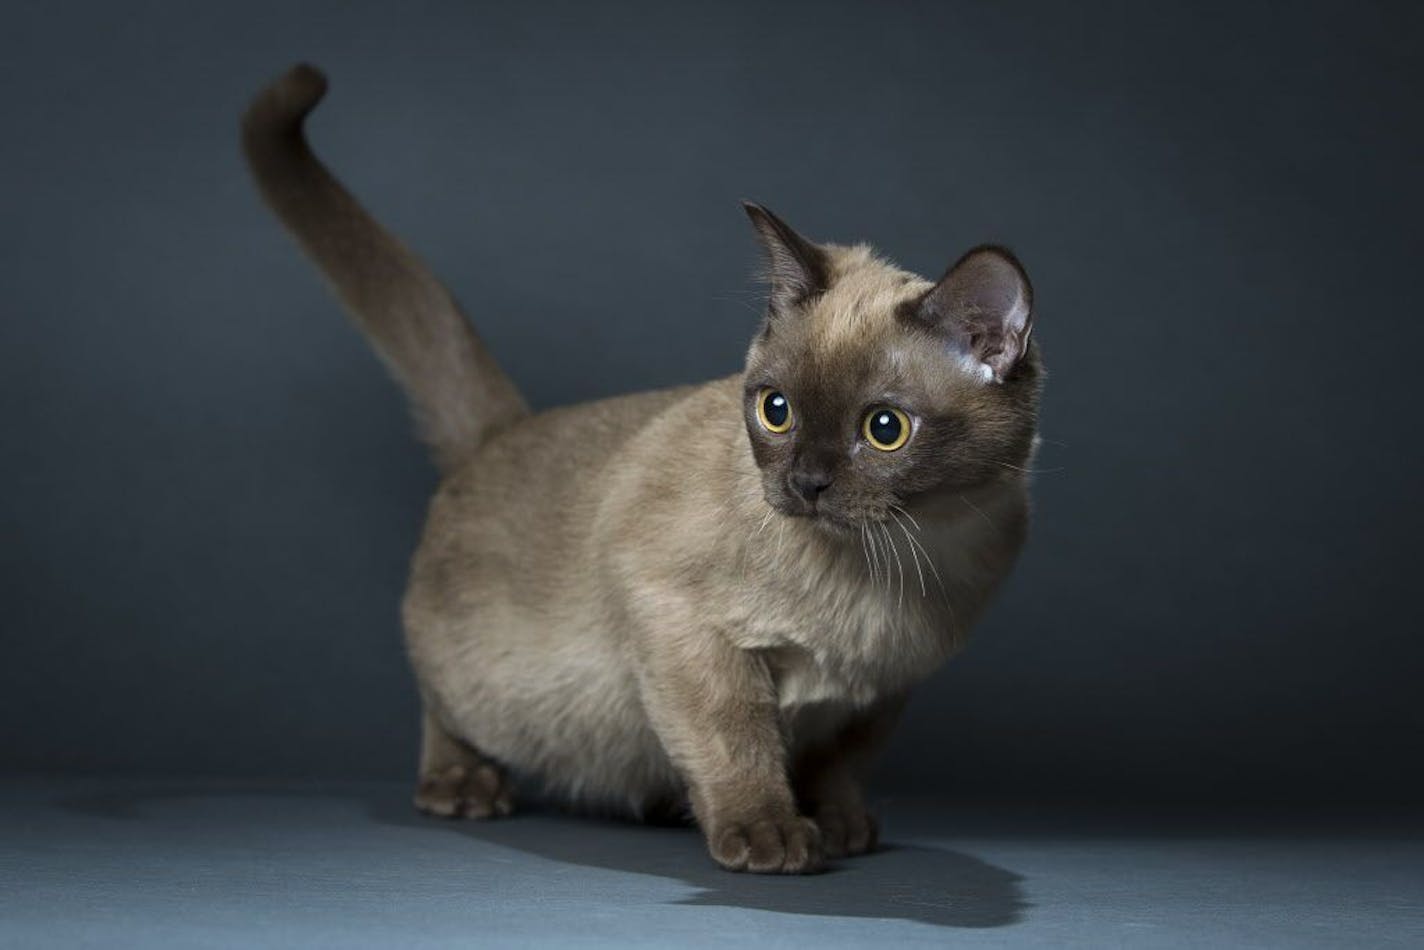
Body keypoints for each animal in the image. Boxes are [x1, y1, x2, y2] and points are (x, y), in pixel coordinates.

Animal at [242, 61, 1048, 877]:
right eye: (777, 412)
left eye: (884, 429)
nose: (805, 485)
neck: (900, 561)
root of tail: (504, 429)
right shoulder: (682, 623)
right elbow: (737, 743)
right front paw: (772, 836)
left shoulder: (878, 692)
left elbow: (838, 767)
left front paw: (843, 828)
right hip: (485, 677)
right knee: (445, 709)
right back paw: (465, 787)